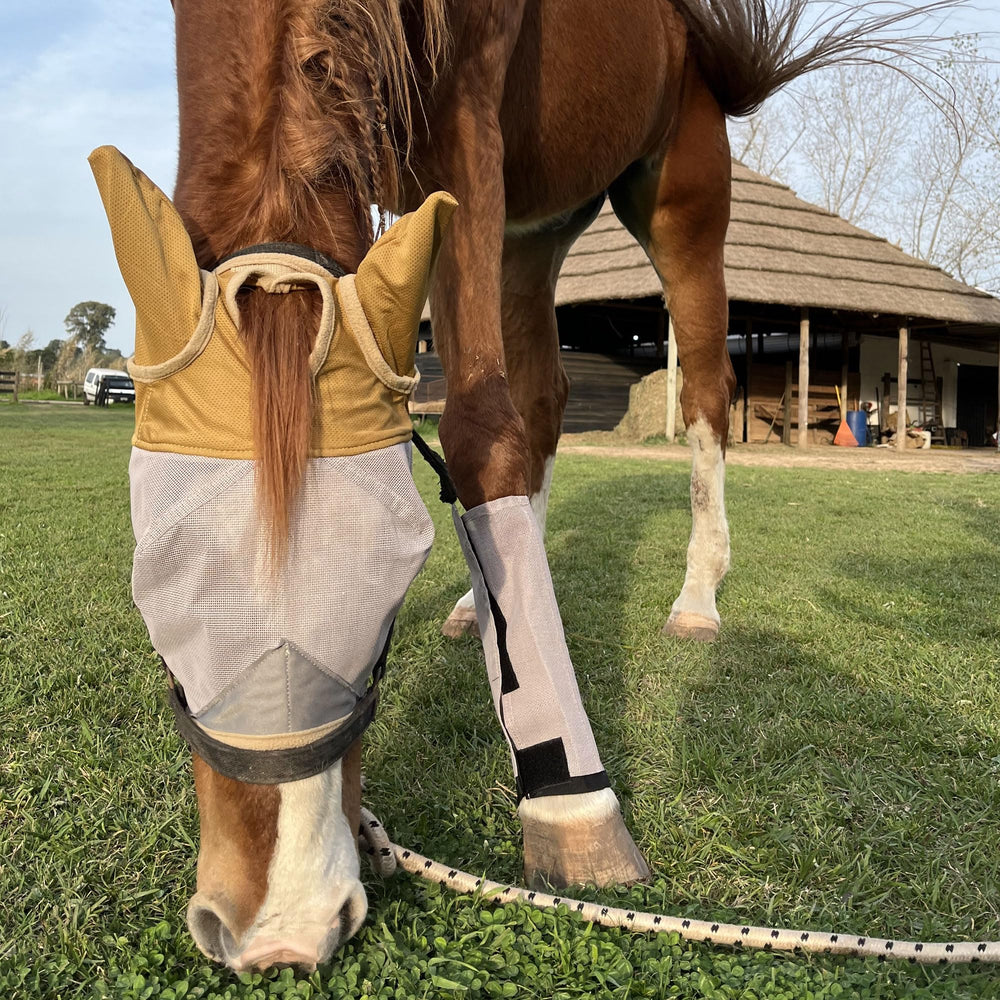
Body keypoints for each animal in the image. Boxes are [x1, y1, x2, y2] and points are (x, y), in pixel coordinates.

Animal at [121, 0, 944, 973]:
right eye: (159, 600)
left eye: (382, 601)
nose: (280, 928)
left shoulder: (466, 127)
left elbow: (480, 431)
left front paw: (570, 802)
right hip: (530, 229)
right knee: (545, 397)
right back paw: (483, 604)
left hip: (679, 202)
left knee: (703, 394)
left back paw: (696, 594)